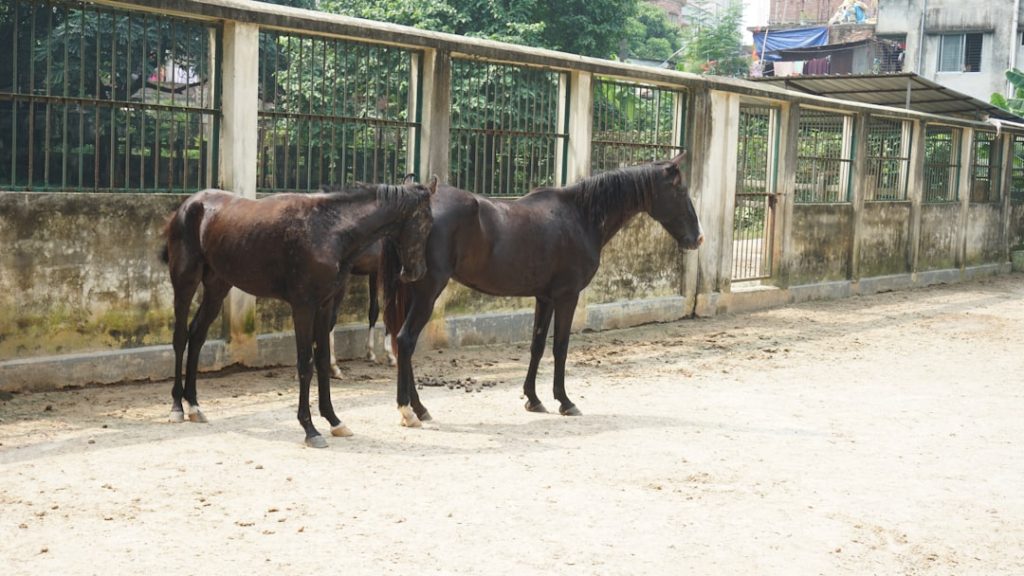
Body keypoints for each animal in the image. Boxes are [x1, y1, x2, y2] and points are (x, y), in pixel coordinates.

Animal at [161, 177, 436, 447]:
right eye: (426, 222)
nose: (418, 272)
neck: (328, 230)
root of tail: (189, 205)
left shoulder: (324, 304)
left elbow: (322, 359)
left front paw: (334, 420)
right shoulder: (303, 306)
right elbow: (306, 362)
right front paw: (310, 428)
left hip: (217, 286)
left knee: (197, 335)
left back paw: (194, 405)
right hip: (185, 282)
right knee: (180, 338)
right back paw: (177, 407)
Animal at [381, 152, 702, 427]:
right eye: (680, 191)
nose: (697, 238)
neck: (580, 216)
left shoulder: (545, 297)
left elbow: (537, 346)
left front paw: (533, 399)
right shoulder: (567, 296)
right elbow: (560, 347)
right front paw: (565, 401)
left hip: (413, 291)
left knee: (402, 343)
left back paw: (419, 407)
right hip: (428, 292)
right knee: (406, 340)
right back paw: (408, 410)